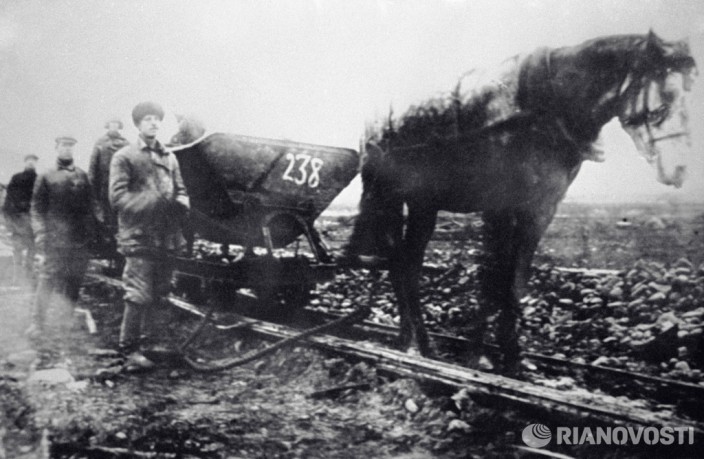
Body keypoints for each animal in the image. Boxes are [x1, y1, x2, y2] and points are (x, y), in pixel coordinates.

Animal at [342, 30, 700, 372]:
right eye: (665, 97)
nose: (680, 169)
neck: (548, 107)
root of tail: (371, 126)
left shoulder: (540, 210)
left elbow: (513, 282)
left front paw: (509, 355)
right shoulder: (499, 207)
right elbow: (492, 279)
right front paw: (478, 355)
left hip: (422, 205)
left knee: (407, 265)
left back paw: (418, 342)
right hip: (387, 198)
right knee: (399, 264)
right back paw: (415, 343)